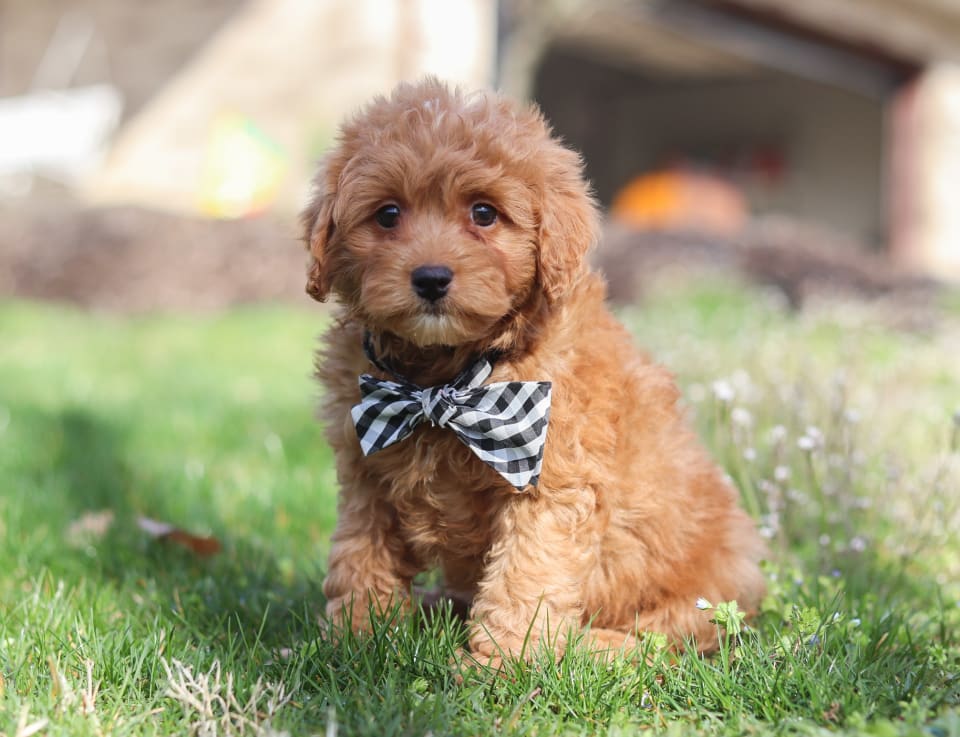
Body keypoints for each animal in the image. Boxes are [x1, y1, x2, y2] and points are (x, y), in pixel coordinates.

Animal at [304, 77, 768, 664]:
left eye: (484, 214)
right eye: (387, 215)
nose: (430, 278)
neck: (445, 380)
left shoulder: (550, 483)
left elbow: (525, 578)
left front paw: (498, 665)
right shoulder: (367, 472)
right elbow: (359, 559)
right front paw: (352, 642)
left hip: (715, 574)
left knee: (673, 632)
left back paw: (596, 646)